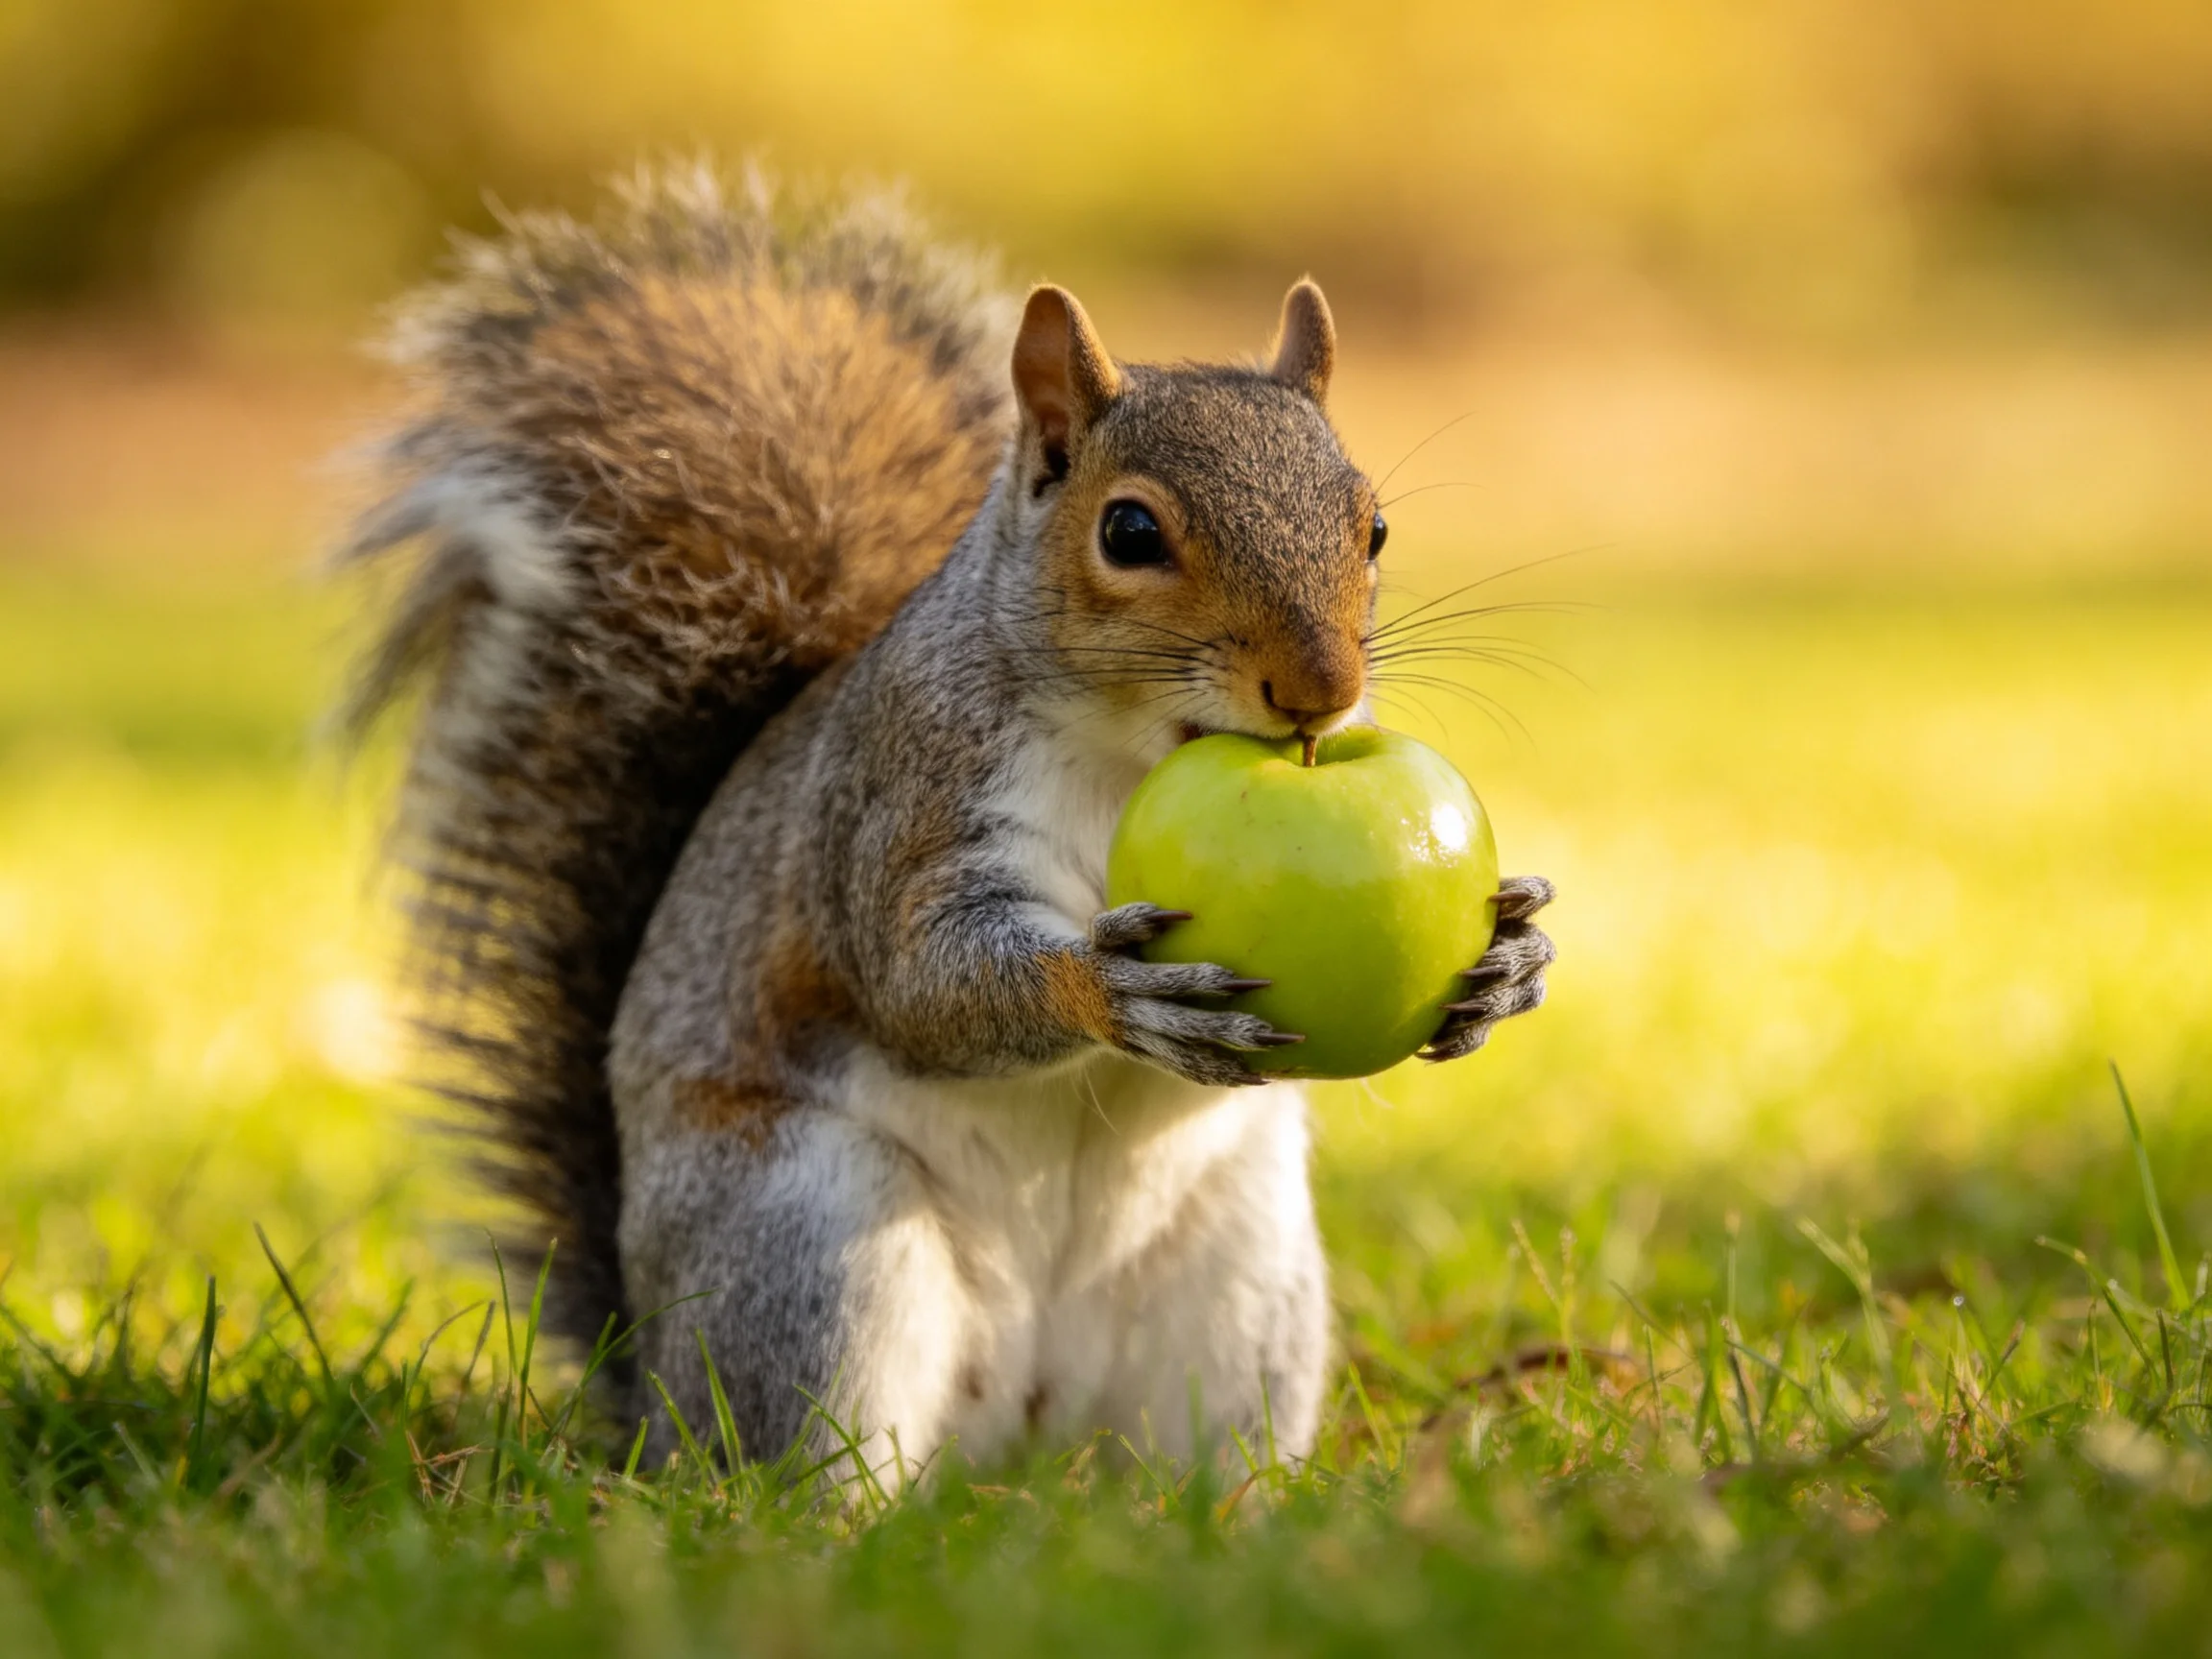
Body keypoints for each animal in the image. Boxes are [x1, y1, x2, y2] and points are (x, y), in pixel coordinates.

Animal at [347, 164, 1556, 1477]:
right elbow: (921, 982)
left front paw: (1510, 958)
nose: (1322, 693)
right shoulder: (908, 806)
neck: (1134, 754)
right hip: (811, 1248)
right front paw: (1109, 991)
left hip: (1245, 1286)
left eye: (1373, 528)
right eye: (1130, 531)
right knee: (803, 1455)